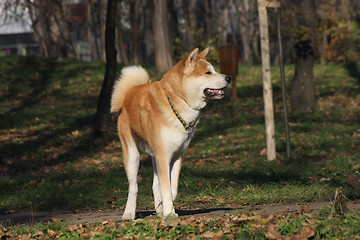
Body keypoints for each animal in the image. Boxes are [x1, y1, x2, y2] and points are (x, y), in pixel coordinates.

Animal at [109, 47, 232, 220]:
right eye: (208, 73)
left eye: (214, 70)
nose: (229, 77)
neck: (178, 99)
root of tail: (129, 93)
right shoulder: (163, 156)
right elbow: (165, 188)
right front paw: (169, 212)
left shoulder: (175, 156)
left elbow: (171, 188)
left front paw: (167, 208)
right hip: (132, 154)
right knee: (133, 187)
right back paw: (129, 213)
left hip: (154, 156)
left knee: (155, 185)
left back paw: (159, 210)